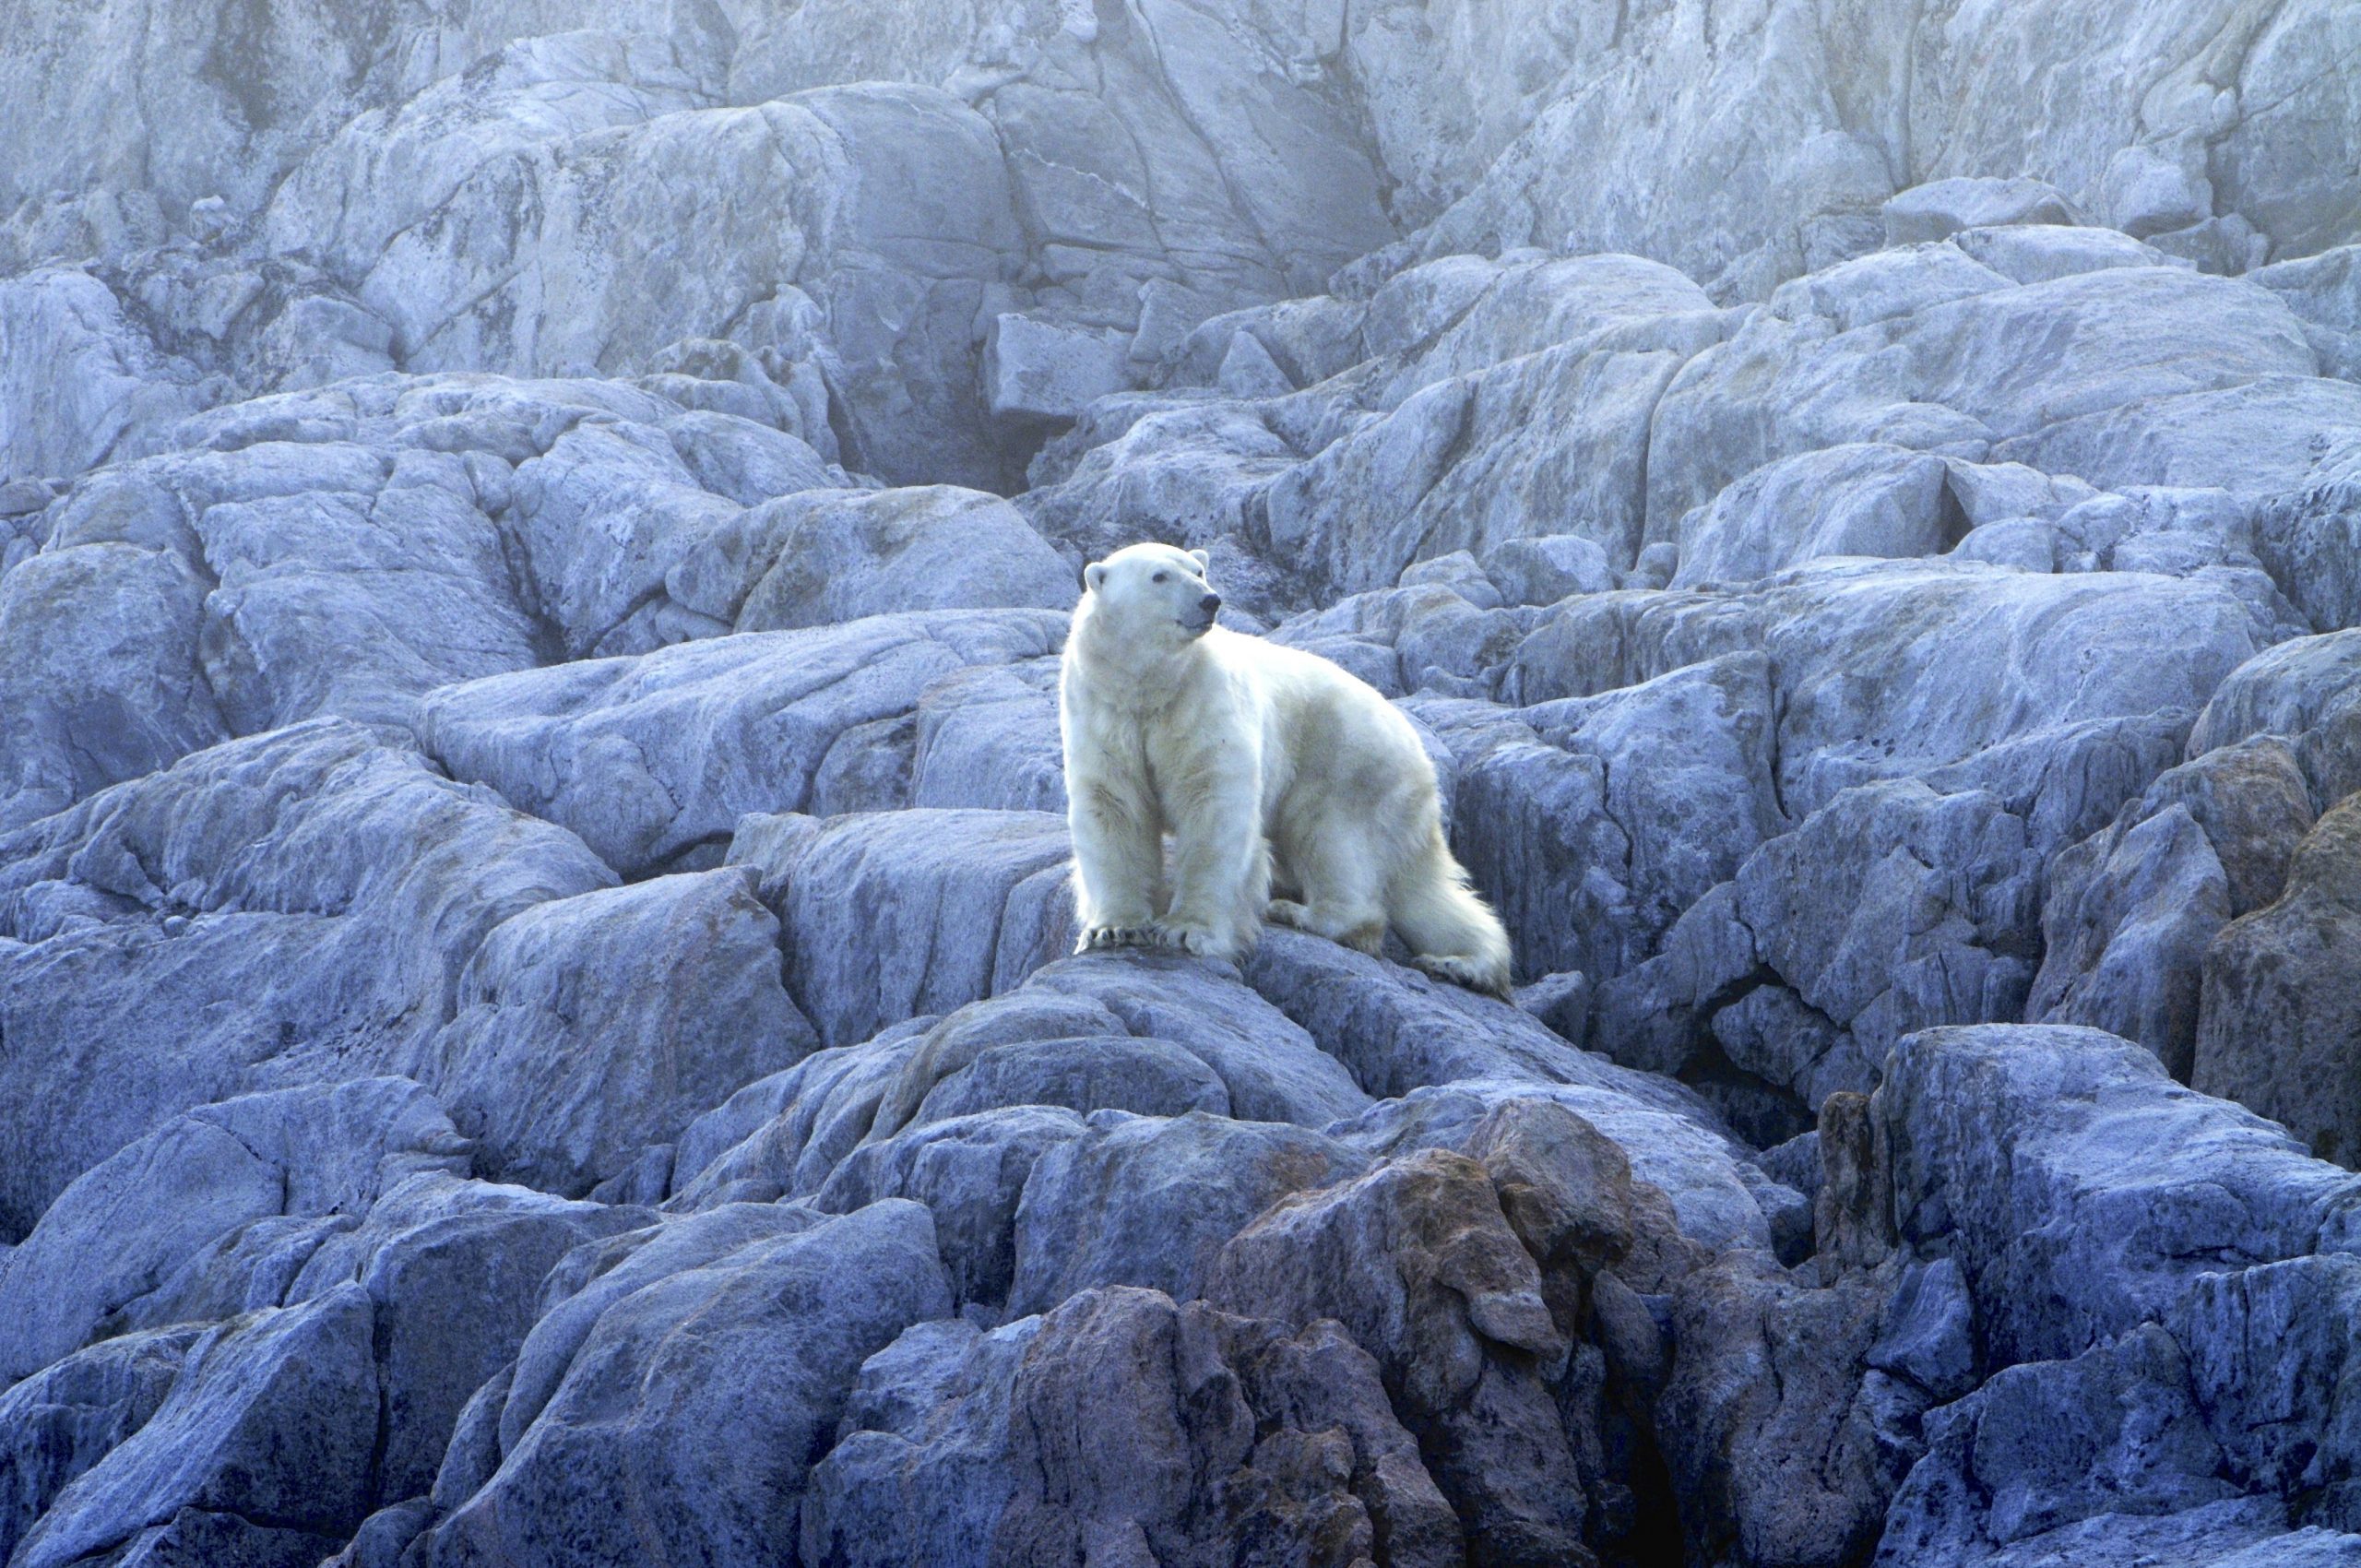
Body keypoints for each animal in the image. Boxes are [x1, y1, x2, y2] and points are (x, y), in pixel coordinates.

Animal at [1057, 542, 1511, 992]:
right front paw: (1113, 928)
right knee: (1422, 890)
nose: (1209, 600)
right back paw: (1462, 963)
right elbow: (1113, 806)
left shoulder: (1203, 700)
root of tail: (1424, 765)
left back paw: (1304, 914)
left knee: (1329, 837)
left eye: (1198, 570)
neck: (1151, 687)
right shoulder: (1104, 709)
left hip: (1344, 763)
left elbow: (1212, 806)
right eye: (1159, 576)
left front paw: (1186, 930)